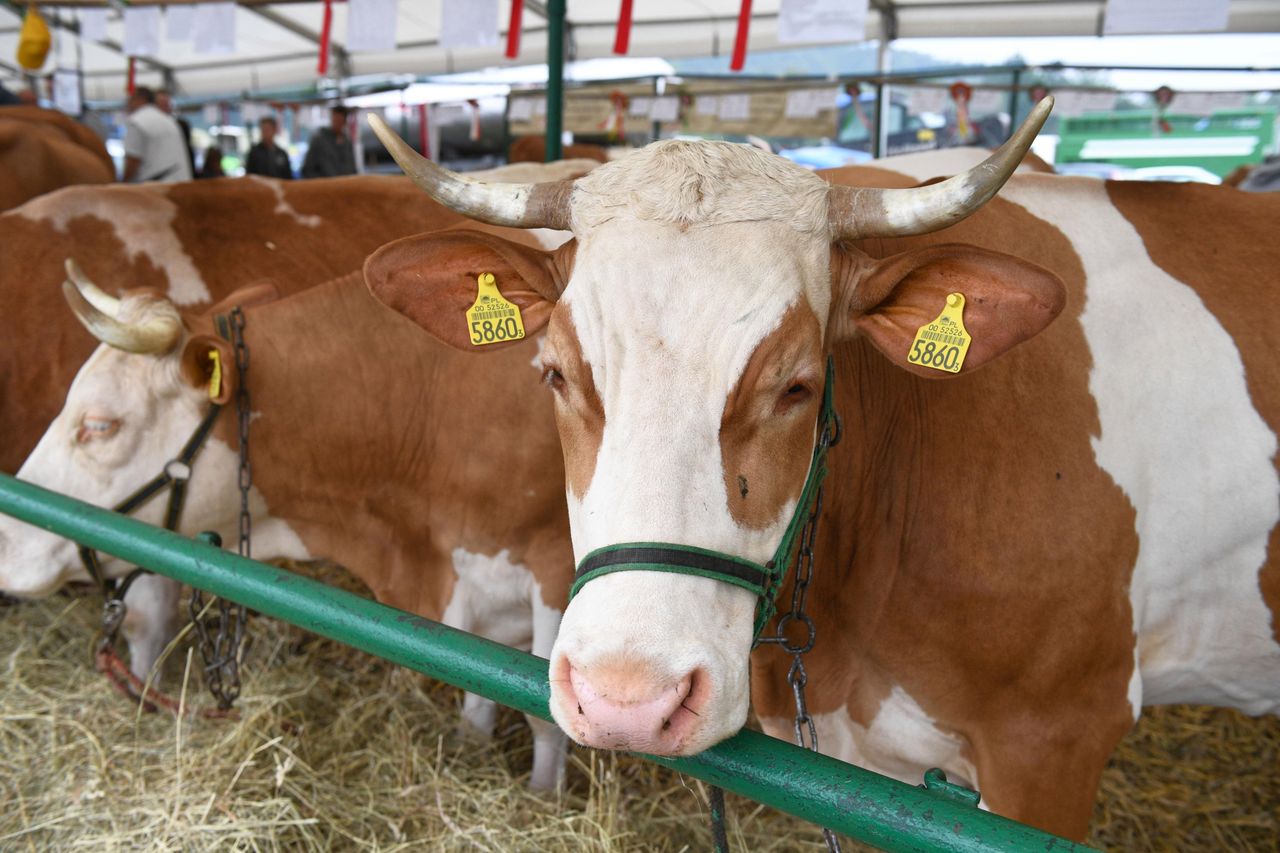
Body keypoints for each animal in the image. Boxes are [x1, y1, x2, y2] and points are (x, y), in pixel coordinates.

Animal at [0, 251, 570, 783]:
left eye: (99, 425)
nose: (5, 543)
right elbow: (478, 704)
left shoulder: (552, 571)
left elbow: (545, 718)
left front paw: (543, 797)